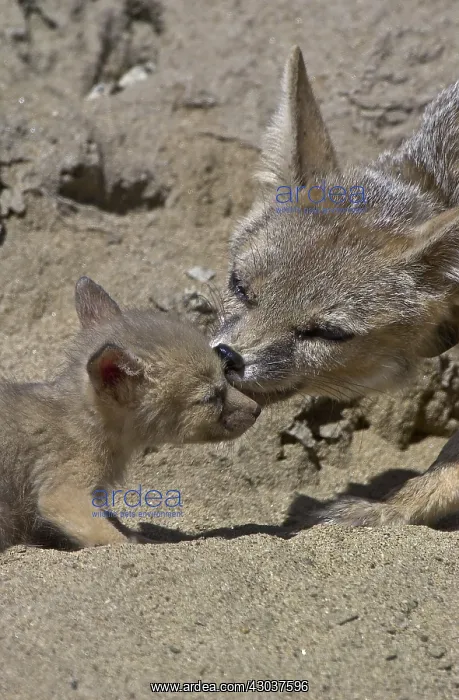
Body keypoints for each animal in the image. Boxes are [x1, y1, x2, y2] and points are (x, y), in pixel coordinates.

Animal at [0, 277, 260, 551]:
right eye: (211, 397)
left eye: (225, 376)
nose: (257, 409)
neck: (87, 424)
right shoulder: (63, 493)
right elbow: (115, 538)